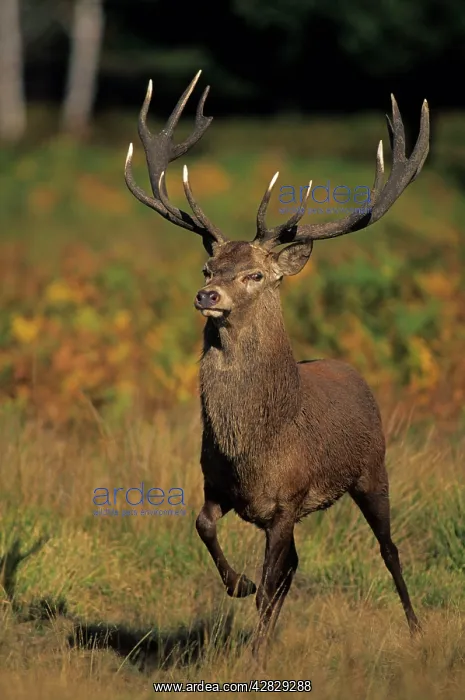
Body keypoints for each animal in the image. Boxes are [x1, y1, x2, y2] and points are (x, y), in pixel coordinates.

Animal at [124, 71, 429, 661]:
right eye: (208, 265)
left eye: (256, 276)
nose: (207, 294)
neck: (253, 450)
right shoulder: (217, 486)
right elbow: (206, 529)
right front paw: (237, 586)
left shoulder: (289, 500)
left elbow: (270, 586)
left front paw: (255, 653)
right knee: (296, 565)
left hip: (373, 469)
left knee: (389, 549)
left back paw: (415, 629)